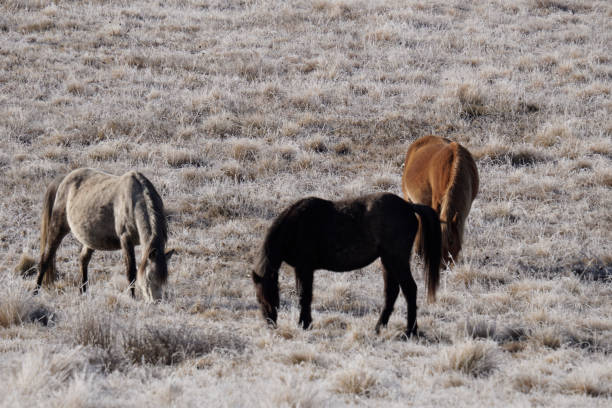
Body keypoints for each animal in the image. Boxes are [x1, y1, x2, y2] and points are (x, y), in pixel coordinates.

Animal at [35, 167, 175, 302]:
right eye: (149, 277)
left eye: (164, 279)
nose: (156, 302)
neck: (134, 199)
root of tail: (64, 179)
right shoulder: (126, 239)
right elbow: (130, 272)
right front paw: (132, 298)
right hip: (58, 227)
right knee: (45, 258)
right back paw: (35, 291)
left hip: (90, 239)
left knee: (83, 259)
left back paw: (83, 292)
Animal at [251, 193, 442, 336]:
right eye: (258, 297)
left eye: (266, 295)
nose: (270, 323)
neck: (296, 225)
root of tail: (409, 207)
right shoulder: (302, 269)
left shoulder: (305, 268)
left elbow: (304, 296)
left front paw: (305, 324)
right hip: (388, 262)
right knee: (392, 292)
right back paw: (379, 327)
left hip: (397, 260)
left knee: (410, 289)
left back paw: (410, 331)